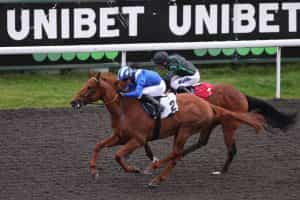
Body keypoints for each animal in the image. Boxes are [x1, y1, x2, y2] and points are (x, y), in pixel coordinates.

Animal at [70, 72, 264, 187]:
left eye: (89, 87)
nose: (73, 102)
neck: (125, 108)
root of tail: (207, 104)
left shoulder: (138, 139)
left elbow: (118, 156)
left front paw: (134, 169)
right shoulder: (120, 136)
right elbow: (98, 146)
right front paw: (94, 171)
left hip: (188, 129)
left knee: (177, 154)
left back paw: (156, 176)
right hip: (184, 131)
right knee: (179, 153)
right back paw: (155, 168)